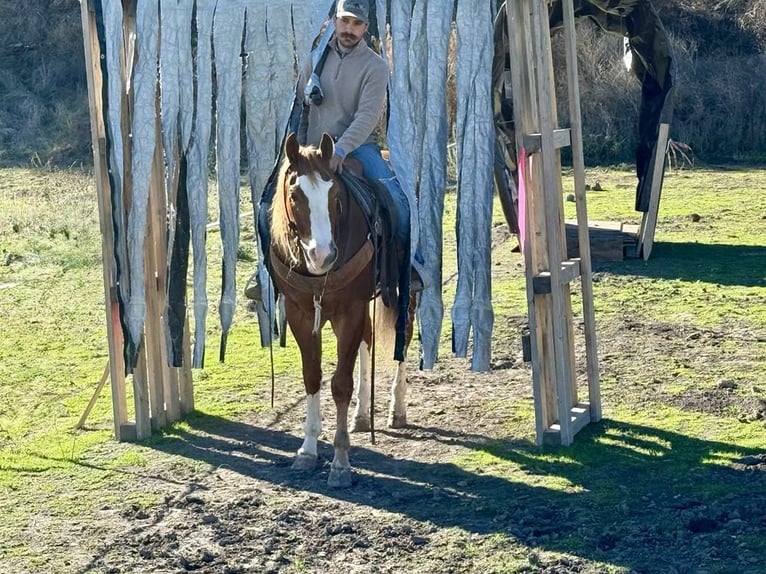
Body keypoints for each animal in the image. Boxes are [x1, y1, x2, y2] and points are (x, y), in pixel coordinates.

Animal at [268, 133, 414, 488]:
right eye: (294, 194)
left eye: (335, 195)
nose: (322, 255)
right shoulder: (301, 313)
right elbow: (312, 376)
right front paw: (307, 451)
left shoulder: (350, 310)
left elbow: (340, 384)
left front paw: (340, 462)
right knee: (367, 342)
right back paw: (362, 415)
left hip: (404, 289)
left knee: (404, 334)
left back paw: (397, 409)